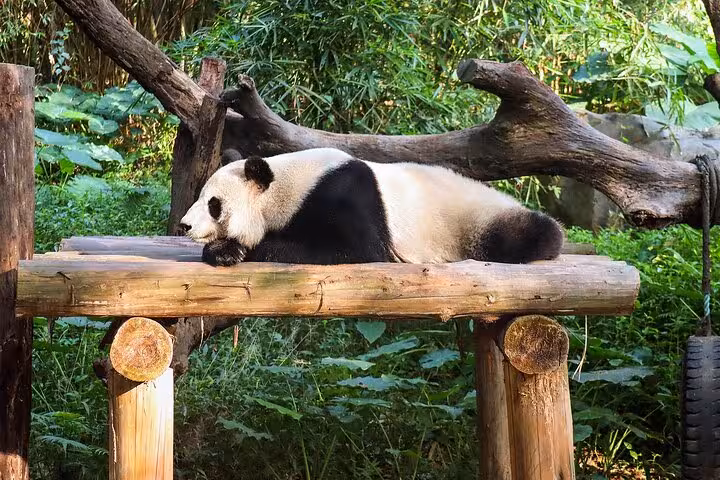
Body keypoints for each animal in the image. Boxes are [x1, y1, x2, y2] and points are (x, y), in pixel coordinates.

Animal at [179, 147, 564, 267]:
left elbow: (357, 249)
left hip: (471, 220)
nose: (184, 226)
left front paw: (231, 250)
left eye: (213, 204)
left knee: (530, 233)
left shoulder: (344, 194)